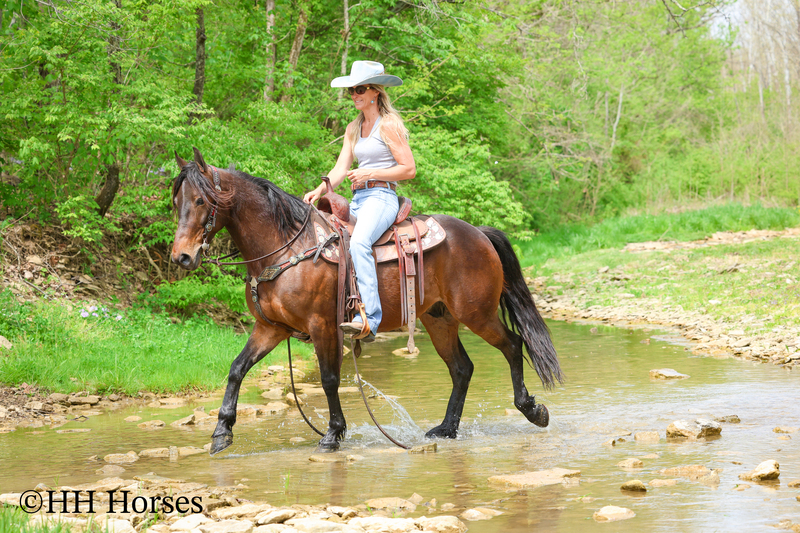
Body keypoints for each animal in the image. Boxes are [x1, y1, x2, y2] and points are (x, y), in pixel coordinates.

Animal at [171, 148, 563, 455]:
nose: (181, 257)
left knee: (512, 345)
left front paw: (333, 433)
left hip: (476, 313)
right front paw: (222, 432)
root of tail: (478, 233)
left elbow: (329, 378)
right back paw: (446, 429)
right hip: (439, 318)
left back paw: (532, 410)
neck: (285, 247)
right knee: (462, 368)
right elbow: (237, 368)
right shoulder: (271, 328)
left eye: (202, 201)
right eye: (176, 202)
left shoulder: (323, 326)